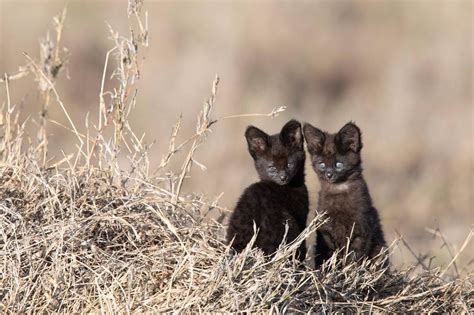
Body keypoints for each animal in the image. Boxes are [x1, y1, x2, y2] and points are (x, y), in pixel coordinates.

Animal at [304, 122, 388, 268]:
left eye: (338, 164)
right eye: (322, 165)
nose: (329, 174)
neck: (339, 189)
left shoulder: (362, 227)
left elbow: (355, 254)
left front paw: (350, 268)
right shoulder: (324, 227)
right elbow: (331, 251)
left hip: (380, 248)